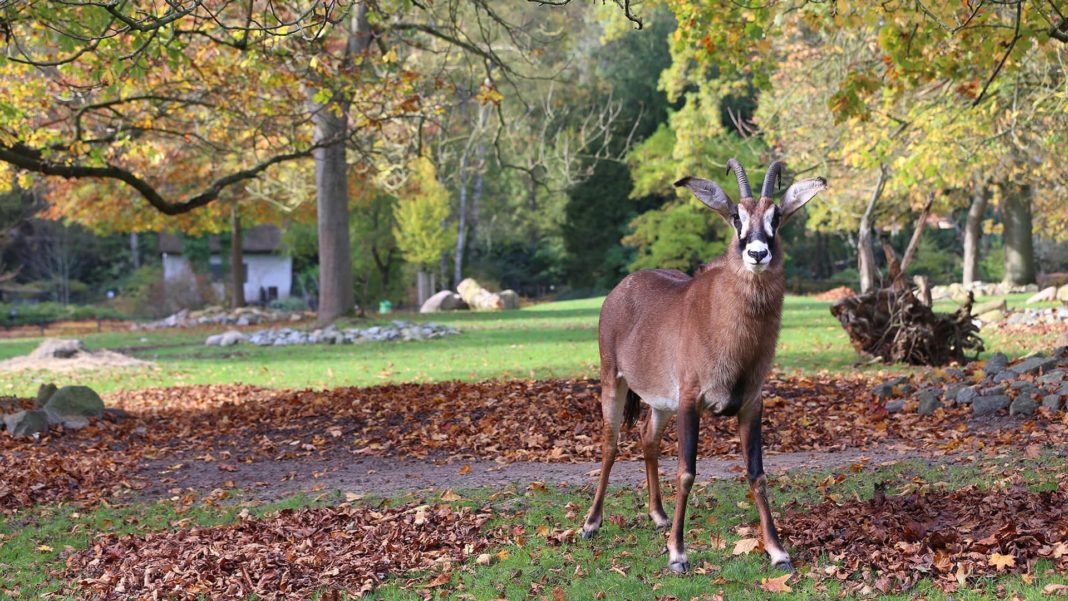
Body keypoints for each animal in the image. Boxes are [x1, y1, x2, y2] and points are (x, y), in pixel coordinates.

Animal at [585, 156, 824, 572]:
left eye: (776, 217)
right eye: (735, 216)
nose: (757, 254)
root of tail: (621, 288)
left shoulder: (751, 404)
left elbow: (757, 474)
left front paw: (778, 551)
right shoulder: (689, 401)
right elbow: (686, 472)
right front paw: (678, 553)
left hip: (659, 402)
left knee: (647, 437)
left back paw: (658, 514)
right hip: (612, 379)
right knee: (611, 443)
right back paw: (592, 523)